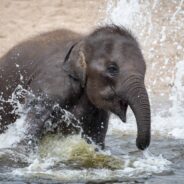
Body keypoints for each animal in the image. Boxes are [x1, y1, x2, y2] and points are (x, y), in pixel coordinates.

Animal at [0, 25, 151, 150]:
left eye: (145, 71)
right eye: (112, 69)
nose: (139, 145)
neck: (82, 41)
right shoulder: (51, 88)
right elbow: (28, 132)